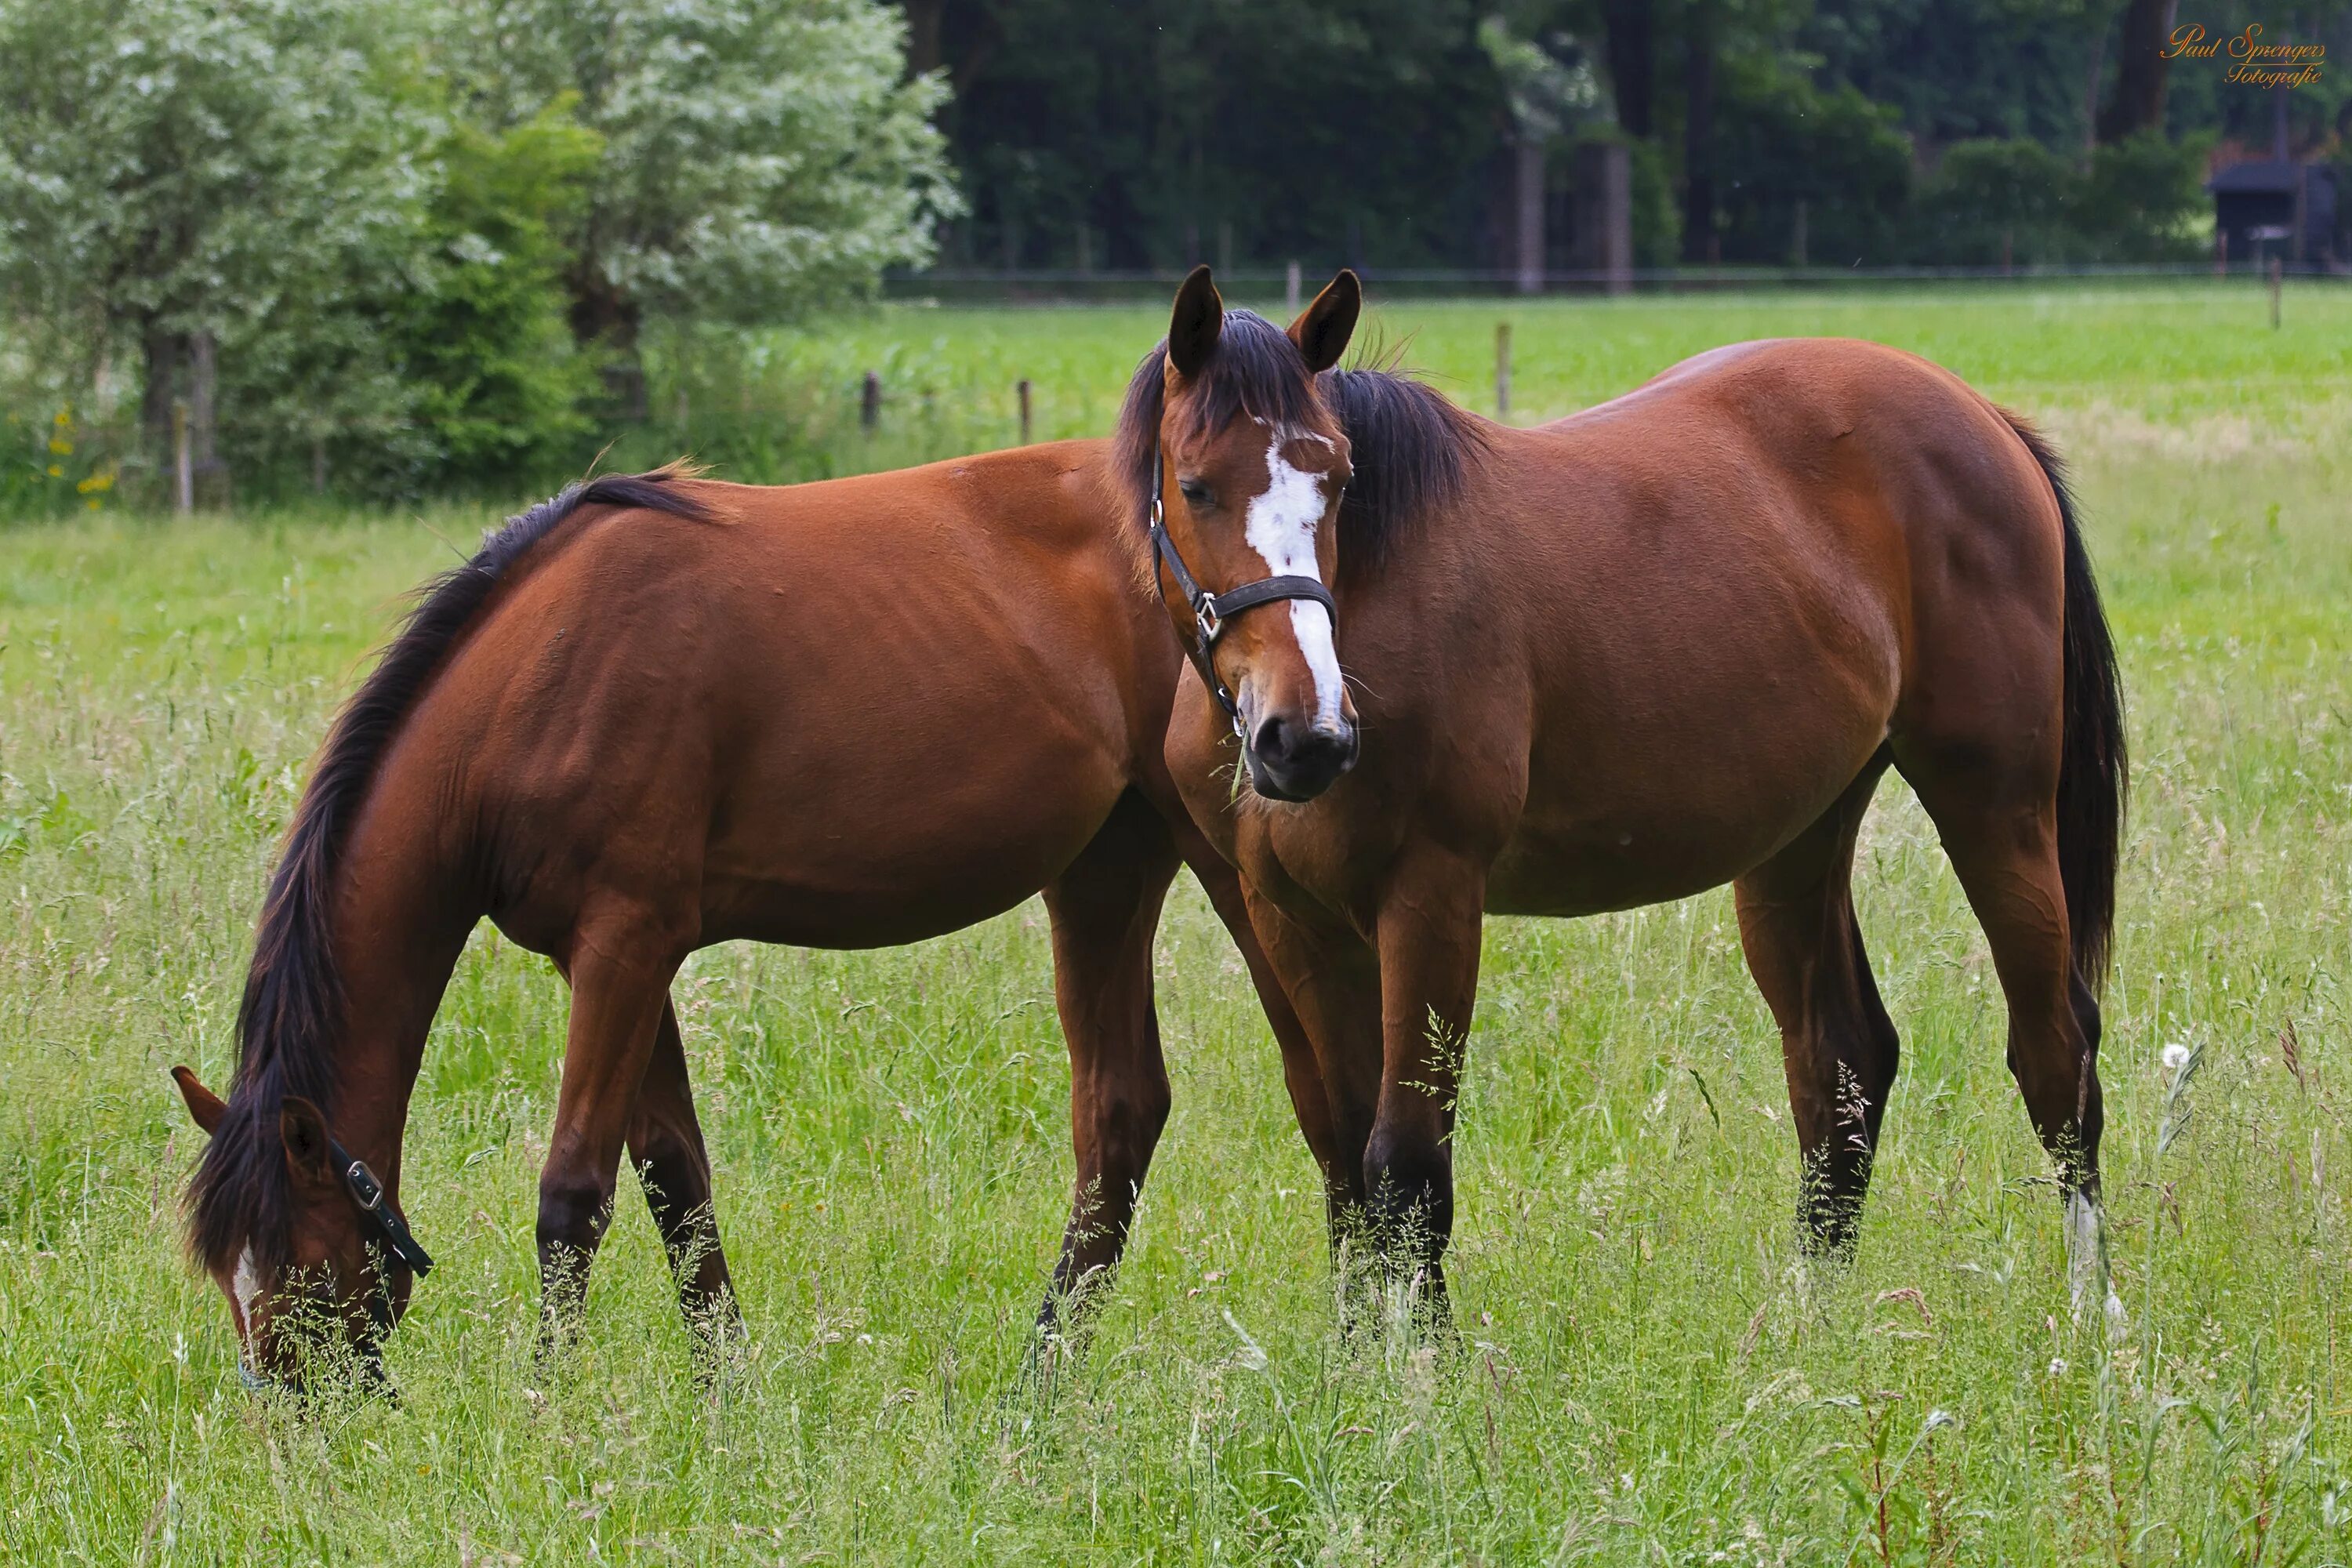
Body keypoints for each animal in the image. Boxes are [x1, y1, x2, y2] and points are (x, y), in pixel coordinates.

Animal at [170, 460, 1345, 1392]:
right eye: (228, 1275)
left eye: (299, 1264)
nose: (298, 1430)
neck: (535, 680)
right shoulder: (612, 959)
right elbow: (673, 1180)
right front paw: (727, 1392)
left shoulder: (625, 945)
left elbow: (574, 1193)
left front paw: (546, 1408)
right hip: (1105, 871)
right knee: (1122, 1112)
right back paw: (1043, 1377)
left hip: (1227, 867)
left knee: (1323, 1085)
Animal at [1124, 270, 2136, 1326]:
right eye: (1195, 485)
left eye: (1338, 482)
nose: (1307, 735)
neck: (1374, 595)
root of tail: (1983, 417)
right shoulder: (1293, 921)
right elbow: (1345, 1166)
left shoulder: (1431, 898)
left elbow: (1406, 1165)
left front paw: (1424, 1369)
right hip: (1799, 838)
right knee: (1843, 1060)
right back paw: (1811, 1326)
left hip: (1995, 809)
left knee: (2056, 1051)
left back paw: (2090, 1318)